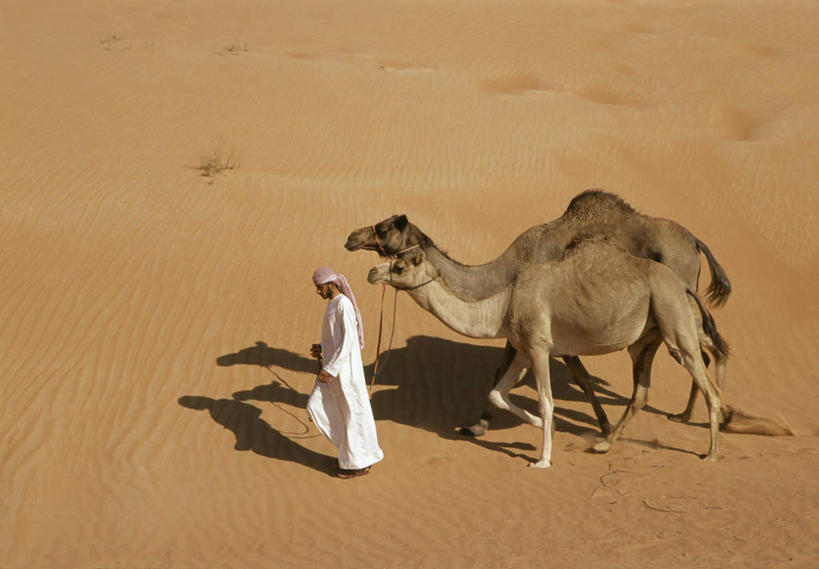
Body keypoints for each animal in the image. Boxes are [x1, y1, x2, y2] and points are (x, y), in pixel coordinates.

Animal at [346, 189, 732, 432]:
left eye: (384, 228)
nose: (352, 236)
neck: (502, 271)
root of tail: (695, 241)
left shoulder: (541, 322)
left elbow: (576, 377)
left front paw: (478, 425)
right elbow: (511, 371)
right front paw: (479, 422)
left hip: (679, 296)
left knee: (703, 349)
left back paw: (717, 415)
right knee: (706, 350)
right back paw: (693, 415)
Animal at [368, 235, 728, 466]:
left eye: (399, 266)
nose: (372, 272)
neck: (501, 305)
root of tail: (683, 285)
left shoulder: (540, 347)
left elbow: (546, 401)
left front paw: (542, 459)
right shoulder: (522, 348)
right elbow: (497, 393)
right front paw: (545, 429)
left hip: (672, 318)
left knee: (706, 381)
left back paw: (711, 452)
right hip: (647, 338)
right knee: (642, 390)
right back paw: (603, 443)